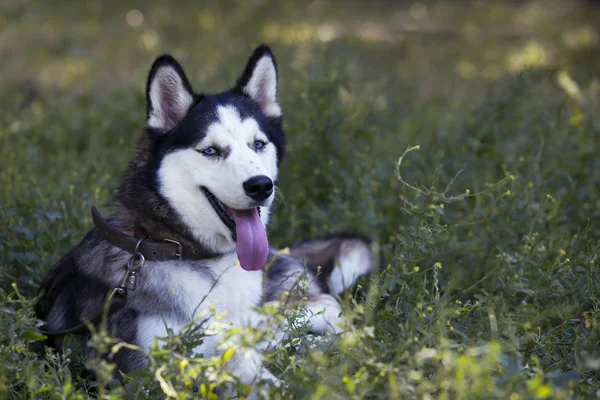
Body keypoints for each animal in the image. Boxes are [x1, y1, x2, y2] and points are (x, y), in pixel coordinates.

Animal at [34, 44, 370, 390]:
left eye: (258, 144)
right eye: (210, 151)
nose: (261, 186)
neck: (181, 250)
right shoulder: (146, 372)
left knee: (319, 307)